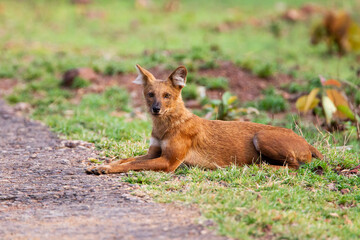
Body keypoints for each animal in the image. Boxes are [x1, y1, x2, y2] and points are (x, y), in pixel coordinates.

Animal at [86, 65, 322, 174]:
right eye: (150, 94)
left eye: (167, 95)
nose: (156, 109)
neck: (164, 127)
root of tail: (307, 142)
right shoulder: (154, 152)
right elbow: (127, 159)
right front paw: (102, 165)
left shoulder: (169, 161)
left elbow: (132, 164)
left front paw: (107, 169)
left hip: (261, 136)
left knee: (295, 166)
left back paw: (256, 166)